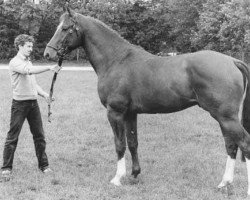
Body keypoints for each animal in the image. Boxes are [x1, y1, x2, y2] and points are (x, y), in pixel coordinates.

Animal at [43, 7, 250, 195]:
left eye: (65, 28)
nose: (48, 54)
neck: (116, 60)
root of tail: (232, 61)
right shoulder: (130, 114)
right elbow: (133, 142)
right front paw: (135, 174)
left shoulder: (115, 112)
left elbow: (120, 144)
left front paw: (117, 178)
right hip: (224, 118)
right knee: (231, 146)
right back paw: (224, 183)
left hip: (226, 117)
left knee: (244, 143)